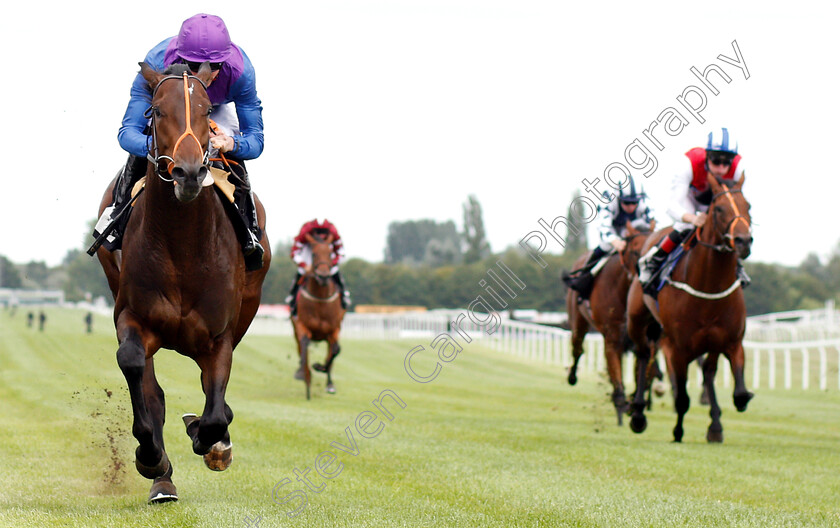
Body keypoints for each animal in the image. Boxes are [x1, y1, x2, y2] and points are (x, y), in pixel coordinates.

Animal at [96, 63, 272, 504]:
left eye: (207, 111)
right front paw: (151, 458)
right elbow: (134, 366)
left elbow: (214, 412)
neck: (182, 245)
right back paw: (162, 480)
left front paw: (211, 441)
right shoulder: (132, 316)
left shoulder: (219, 335)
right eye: (157, 110)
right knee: (152, 389)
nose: (190, 172)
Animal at [292, 233, 344, 398]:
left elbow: (335, 350)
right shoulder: (301, 325)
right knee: (300, 348)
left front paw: (320, 367)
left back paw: (329, 383)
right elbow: (304, 346)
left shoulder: (334, 329)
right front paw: (306, 376)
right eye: (314, 254)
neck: (320, 299)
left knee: (330, 352)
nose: (323, 276)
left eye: (330, 253)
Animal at [564, 222, 656, 424]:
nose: (644, 282)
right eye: (635, 251)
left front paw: (635, 403)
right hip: (578, 320)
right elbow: (616, 371)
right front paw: (622, 405)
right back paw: (572, 376)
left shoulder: (646, 337)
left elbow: (644, 371)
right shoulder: (613, 336)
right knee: (577, 348)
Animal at [628, 173, 752, 442]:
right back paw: (638, 413)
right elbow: (682, 397)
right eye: (719, 209)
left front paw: (716, 425)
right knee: (643, 356)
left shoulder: (729, 340)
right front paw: (677, 431)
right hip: (637, 321)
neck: (709, 287)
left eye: (748, 206)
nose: (744, 241)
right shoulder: (678, 347)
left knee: (706, 371)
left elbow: (737, 393)